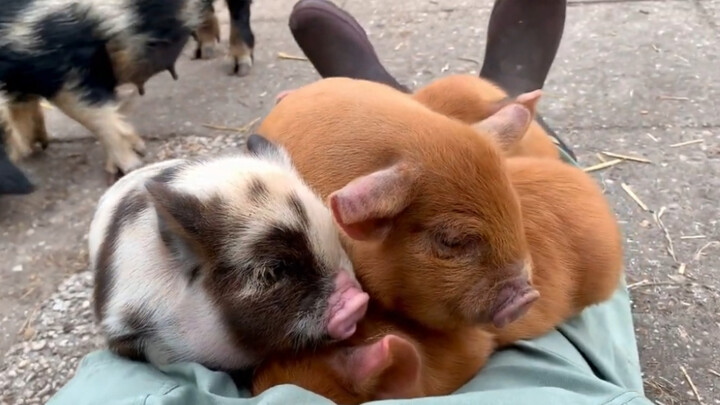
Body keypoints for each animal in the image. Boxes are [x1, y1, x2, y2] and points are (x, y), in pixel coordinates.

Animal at [0, 0, 255, 188]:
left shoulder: (65, 55)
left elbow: (91, 113)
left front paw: (125, 170)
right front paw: (34, 147)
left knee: (239, 12)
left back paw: (238, 66)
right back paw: (203, 52)